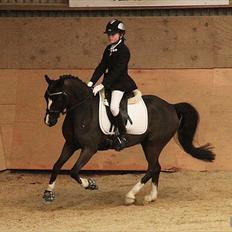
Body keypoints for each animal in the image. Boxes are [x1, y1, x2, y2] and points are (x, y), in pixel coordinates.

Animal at [43, 74, 214, 205]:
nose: (48, 121)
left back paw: (130, 196)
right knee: (156, 167)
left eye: (57, 98)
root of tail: (171, 106)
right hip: (148, 144)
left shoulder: (89, 149)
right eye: (46, 97)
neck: (82, 110)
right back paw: (151, 197)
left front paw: (90, 184)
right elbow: (56, 166)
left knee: (153, 167)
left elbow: (74, 171)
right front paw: (48, 194)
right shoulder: (70, 144)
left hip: (153, 144)